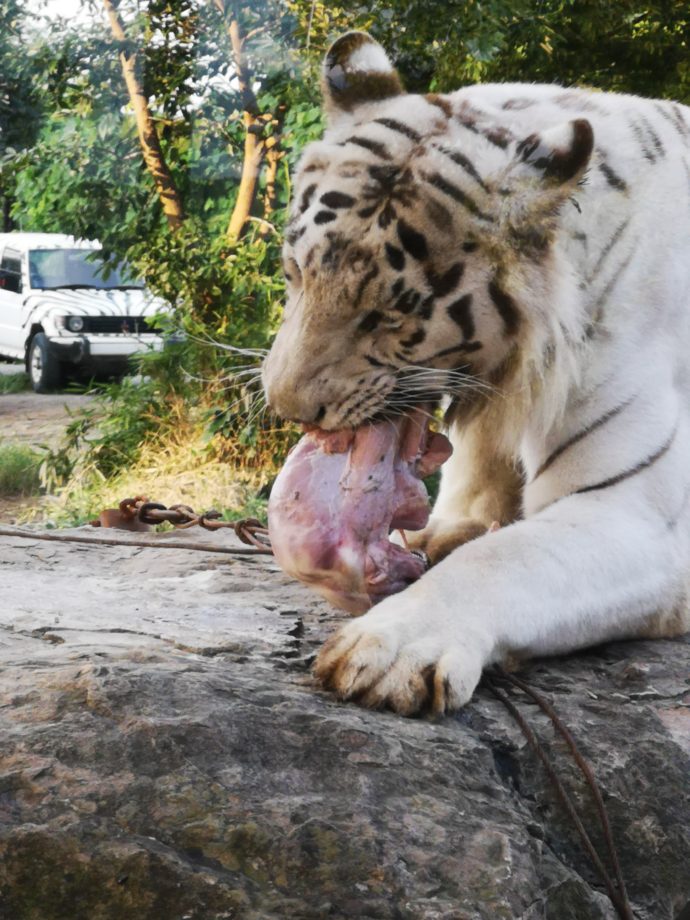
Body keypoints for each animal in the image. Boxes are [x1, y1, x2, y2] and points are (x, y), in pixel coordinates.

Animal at [260, 32, 688, 716]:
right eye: (295, 273)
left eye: (388, 314)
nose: (288, 408)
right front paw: (449, 528)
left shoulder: (633, 514)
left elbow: (504, 559)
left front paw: (388, 648)